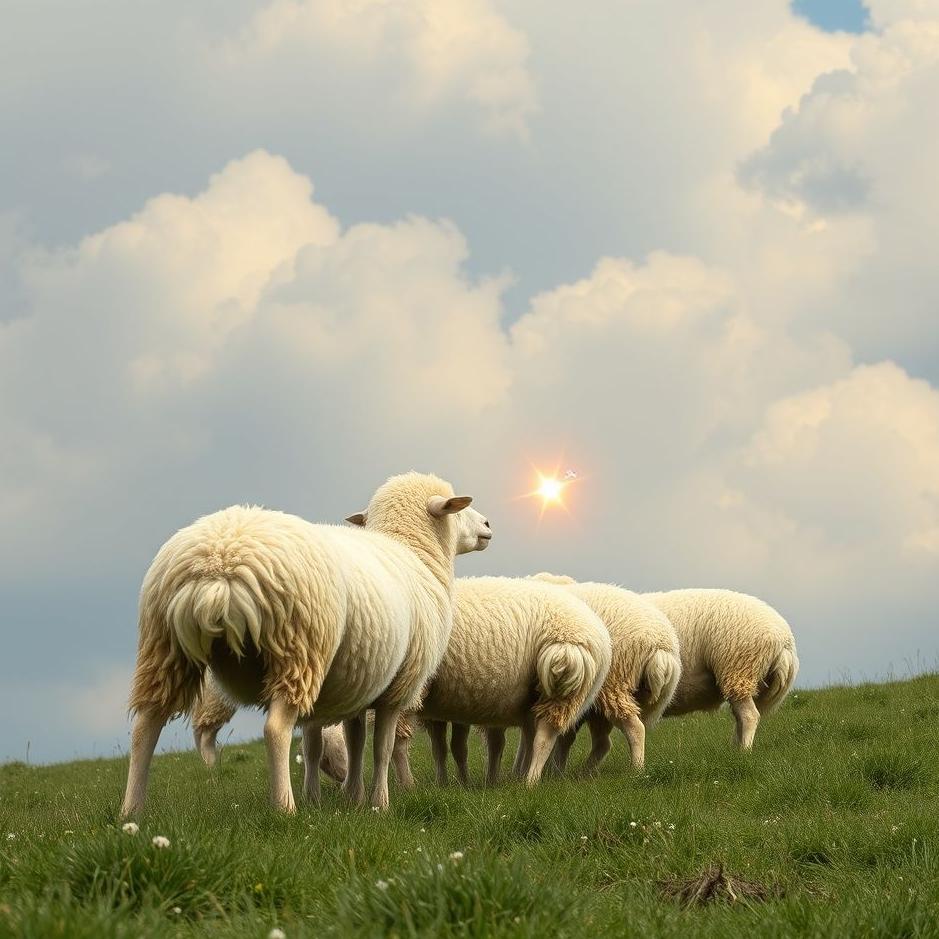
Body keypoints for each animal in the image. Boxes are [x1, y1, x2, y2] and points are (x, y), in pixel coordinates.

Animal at [120, 471, 489, 817]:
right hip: (299, 650)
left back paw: (132, 810)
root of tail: (221, 565)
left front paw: (346, 798)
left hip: (165, 649)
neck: (414, 552)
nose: (487, 526)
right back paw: (284, 807)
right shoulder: (397, 688)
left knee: (145, 727)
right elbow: (380, 749)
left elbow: (341, 744)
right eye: (458, 509)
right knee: (275, 729)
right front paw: (378, 804)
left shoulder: (354, 683)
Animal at [644, 588, 799, 748]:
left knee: (749, 715)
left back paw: (744, 749)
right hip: (752, 679)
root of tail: (784, 638)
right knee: (740, 717)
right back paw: (735, 747)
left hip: (737, 671)